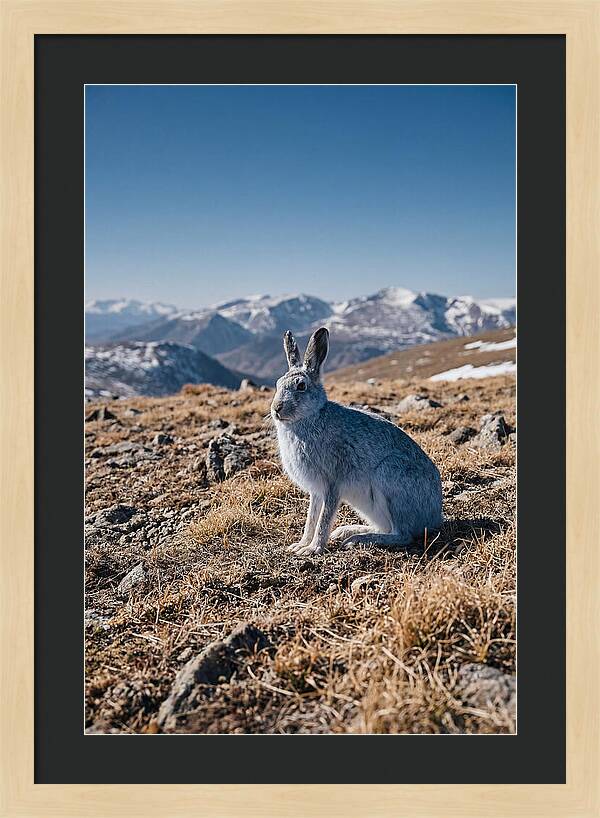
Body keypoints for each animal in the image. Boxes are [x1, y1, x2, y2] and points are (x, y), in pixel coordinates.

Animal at [271, 326, 443, 557]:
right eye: (277, 384)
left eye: (301, 386)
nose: (276, 409)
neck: (310, 417)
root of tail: (435, 518)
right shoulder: (316, 491)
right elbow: (311, 518)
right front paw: (300, 545)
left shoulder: (332, 483)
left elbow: (323, 518)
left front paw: (313, 549)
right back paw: (347, 531)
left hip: (390, 478)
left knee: (402, 534)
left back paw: (358, 539)